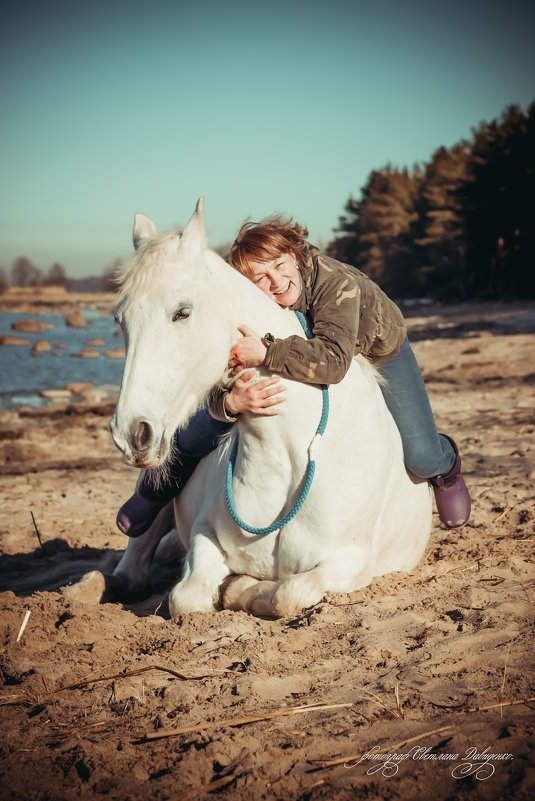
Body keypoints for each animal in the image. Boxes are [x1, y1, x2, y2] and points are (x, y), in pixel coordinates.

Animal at [103, 200, 432, 620]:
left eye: (182, 312)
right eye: (120, 319)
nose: (131, 434)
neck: (287, 458)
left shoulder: (352, 561)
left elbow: (286, 592)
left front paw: (240, 587)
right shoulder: (205, 535)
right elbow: (186, 596)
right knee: (135, 560)